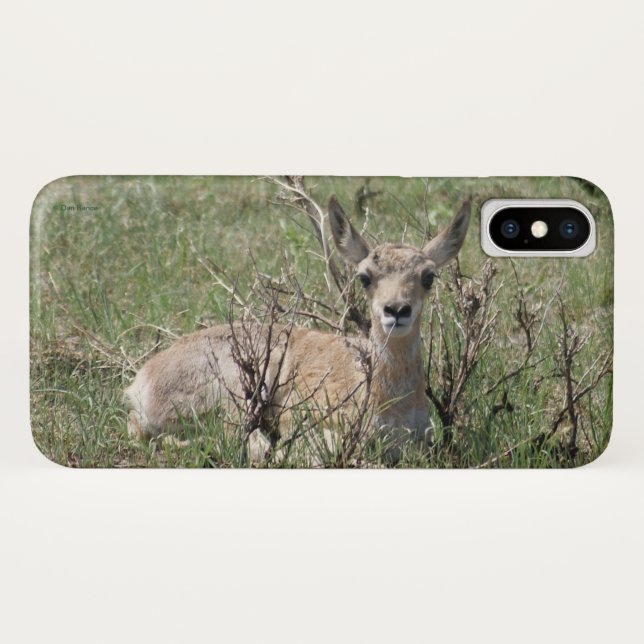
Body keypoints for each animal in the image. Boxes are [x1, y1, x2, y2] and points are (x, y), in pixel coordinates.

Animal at [124, 197, 471, 462]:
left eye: (428, 276)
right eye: (365, 276)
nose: (396, 310)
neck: (390, 404)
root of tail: (141, 380)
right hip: (238, 391)